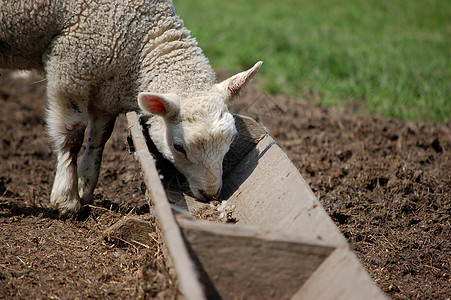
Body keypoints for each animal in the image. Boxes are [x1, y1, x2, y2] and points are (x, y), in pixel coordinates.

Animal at [0, 0, 262, 217]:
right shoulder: (70, 66)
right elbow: (72, 135)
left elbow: (99, 138)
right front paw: (67, 199)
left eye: (231, 141)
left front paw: (85, 187)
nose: (211, 194)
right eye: (178, 147)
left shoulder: (106, 88)